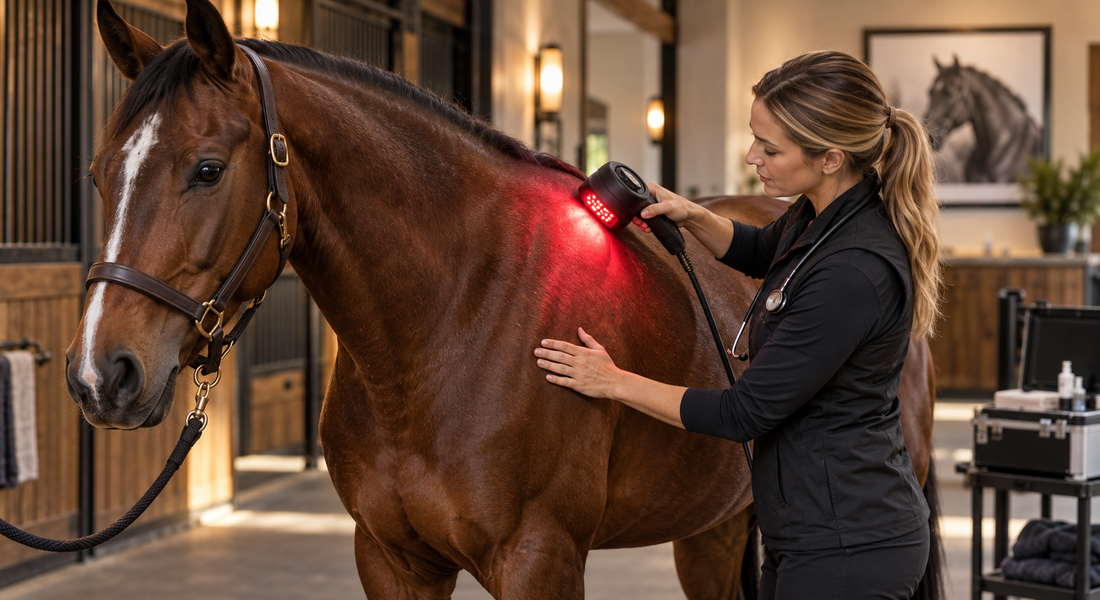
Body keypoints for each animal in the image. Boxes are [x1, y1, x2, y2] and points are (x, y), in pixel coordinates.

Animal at [67, 1, 941, 597]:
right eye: (99, 172)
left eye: (207, 169)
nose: (101, 375)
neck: (448, 324)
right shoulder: (390, 559)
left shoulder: (537, 558)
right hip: (716, 529)